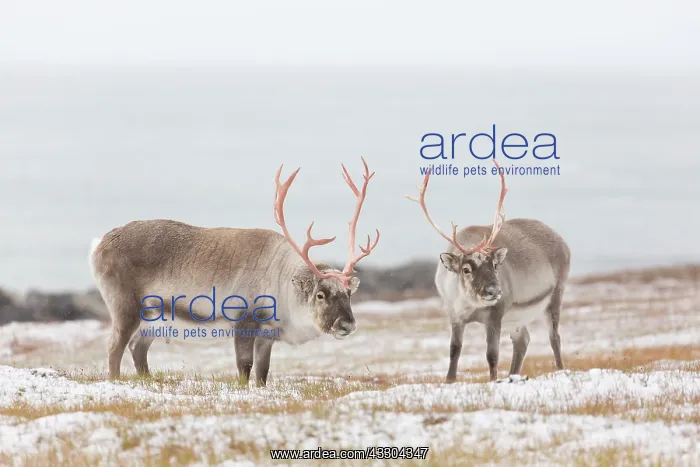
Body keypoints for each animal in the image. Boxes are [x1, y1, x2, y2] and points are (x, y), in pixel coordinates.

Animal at [89, 158, 380, 384]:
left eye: (348, 293)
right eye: (320, 294)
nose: (347, 324)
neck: (281, 282)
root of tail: (98, 244)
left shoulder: (267, 336)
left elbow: (263, 373)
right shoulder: (243, 321)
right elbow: (244, 367)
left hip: (156, 320)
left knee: (137, 347)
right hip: (125, 307)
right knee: (115, 346)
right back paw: (115, 381)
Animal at [406, 160, 570, 382]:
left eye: (494, 265)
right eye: (466, 269)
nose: (494, 290)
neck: (469, 305)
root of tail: (562, 241)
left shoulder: (495, 315)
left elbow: (492, 354)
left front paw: (493, 380)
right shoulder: (454, 315)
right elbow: (454, 350)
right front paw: (449, 380)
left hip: (554, 297)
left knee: (554, 337)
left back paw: (561, 370)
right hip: (517, 317)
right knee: (523, 340)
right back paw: (513, 375)